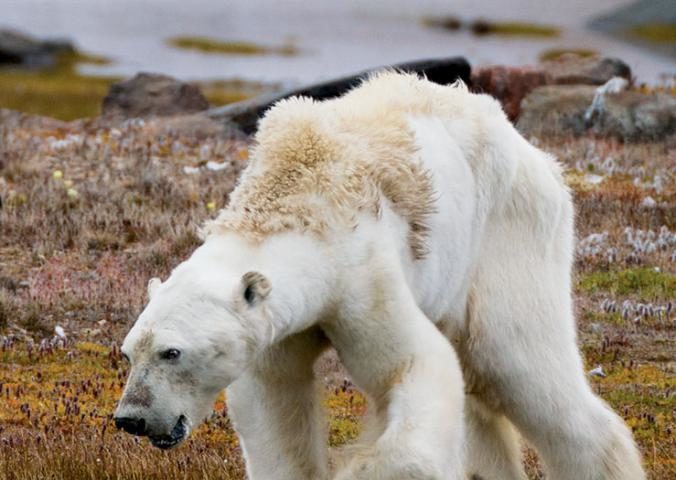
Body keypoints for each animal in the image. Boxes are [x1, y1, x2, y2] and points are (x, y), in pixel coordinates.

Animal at [113, 72, 640, 480]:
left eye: (172, 351)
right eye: (128, 351)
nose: (131, 419)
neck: (295, 199)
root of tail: (537, 156)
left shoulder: (361, 276)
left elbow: (413, 366)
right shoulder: (277, 326)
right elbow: (274, 401)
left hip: (508, 232)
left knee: (518, 359)